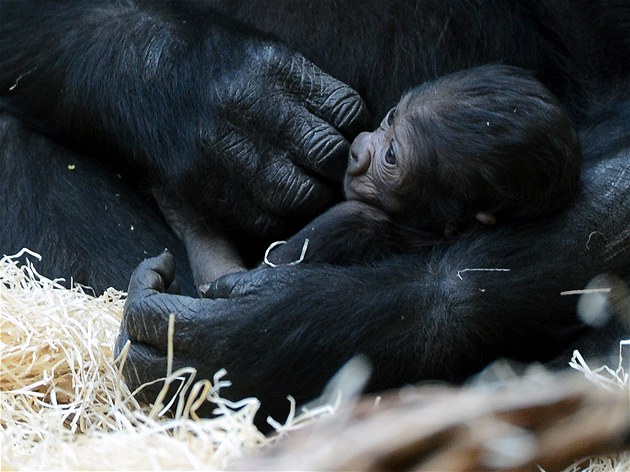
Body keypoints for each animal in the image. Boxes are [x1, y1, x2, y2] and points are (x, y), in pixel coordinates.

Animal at [158, 63, 584, 292]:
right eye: (391, 116)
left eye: (391, 156)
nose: (360, 149)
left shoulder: (344, 222)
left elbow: (232, 281)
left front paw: (185, 212)